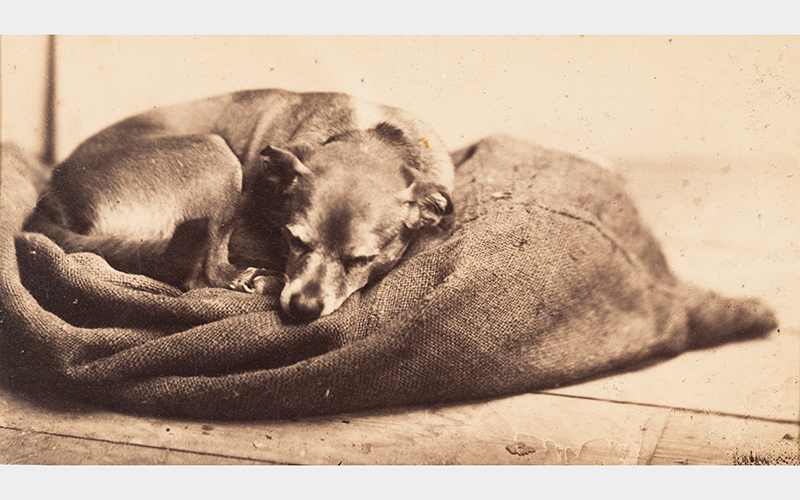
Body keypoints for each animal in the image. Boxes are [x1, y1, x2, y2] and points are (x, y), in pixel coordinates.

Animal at [21, 89, 454, 324]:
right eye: (294, 239)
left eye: (361, 259)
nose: (302, 309)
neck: (372, 135)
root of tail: (50, 199)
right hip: (217, 157)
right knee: (202, 275)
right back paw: (251, 279)